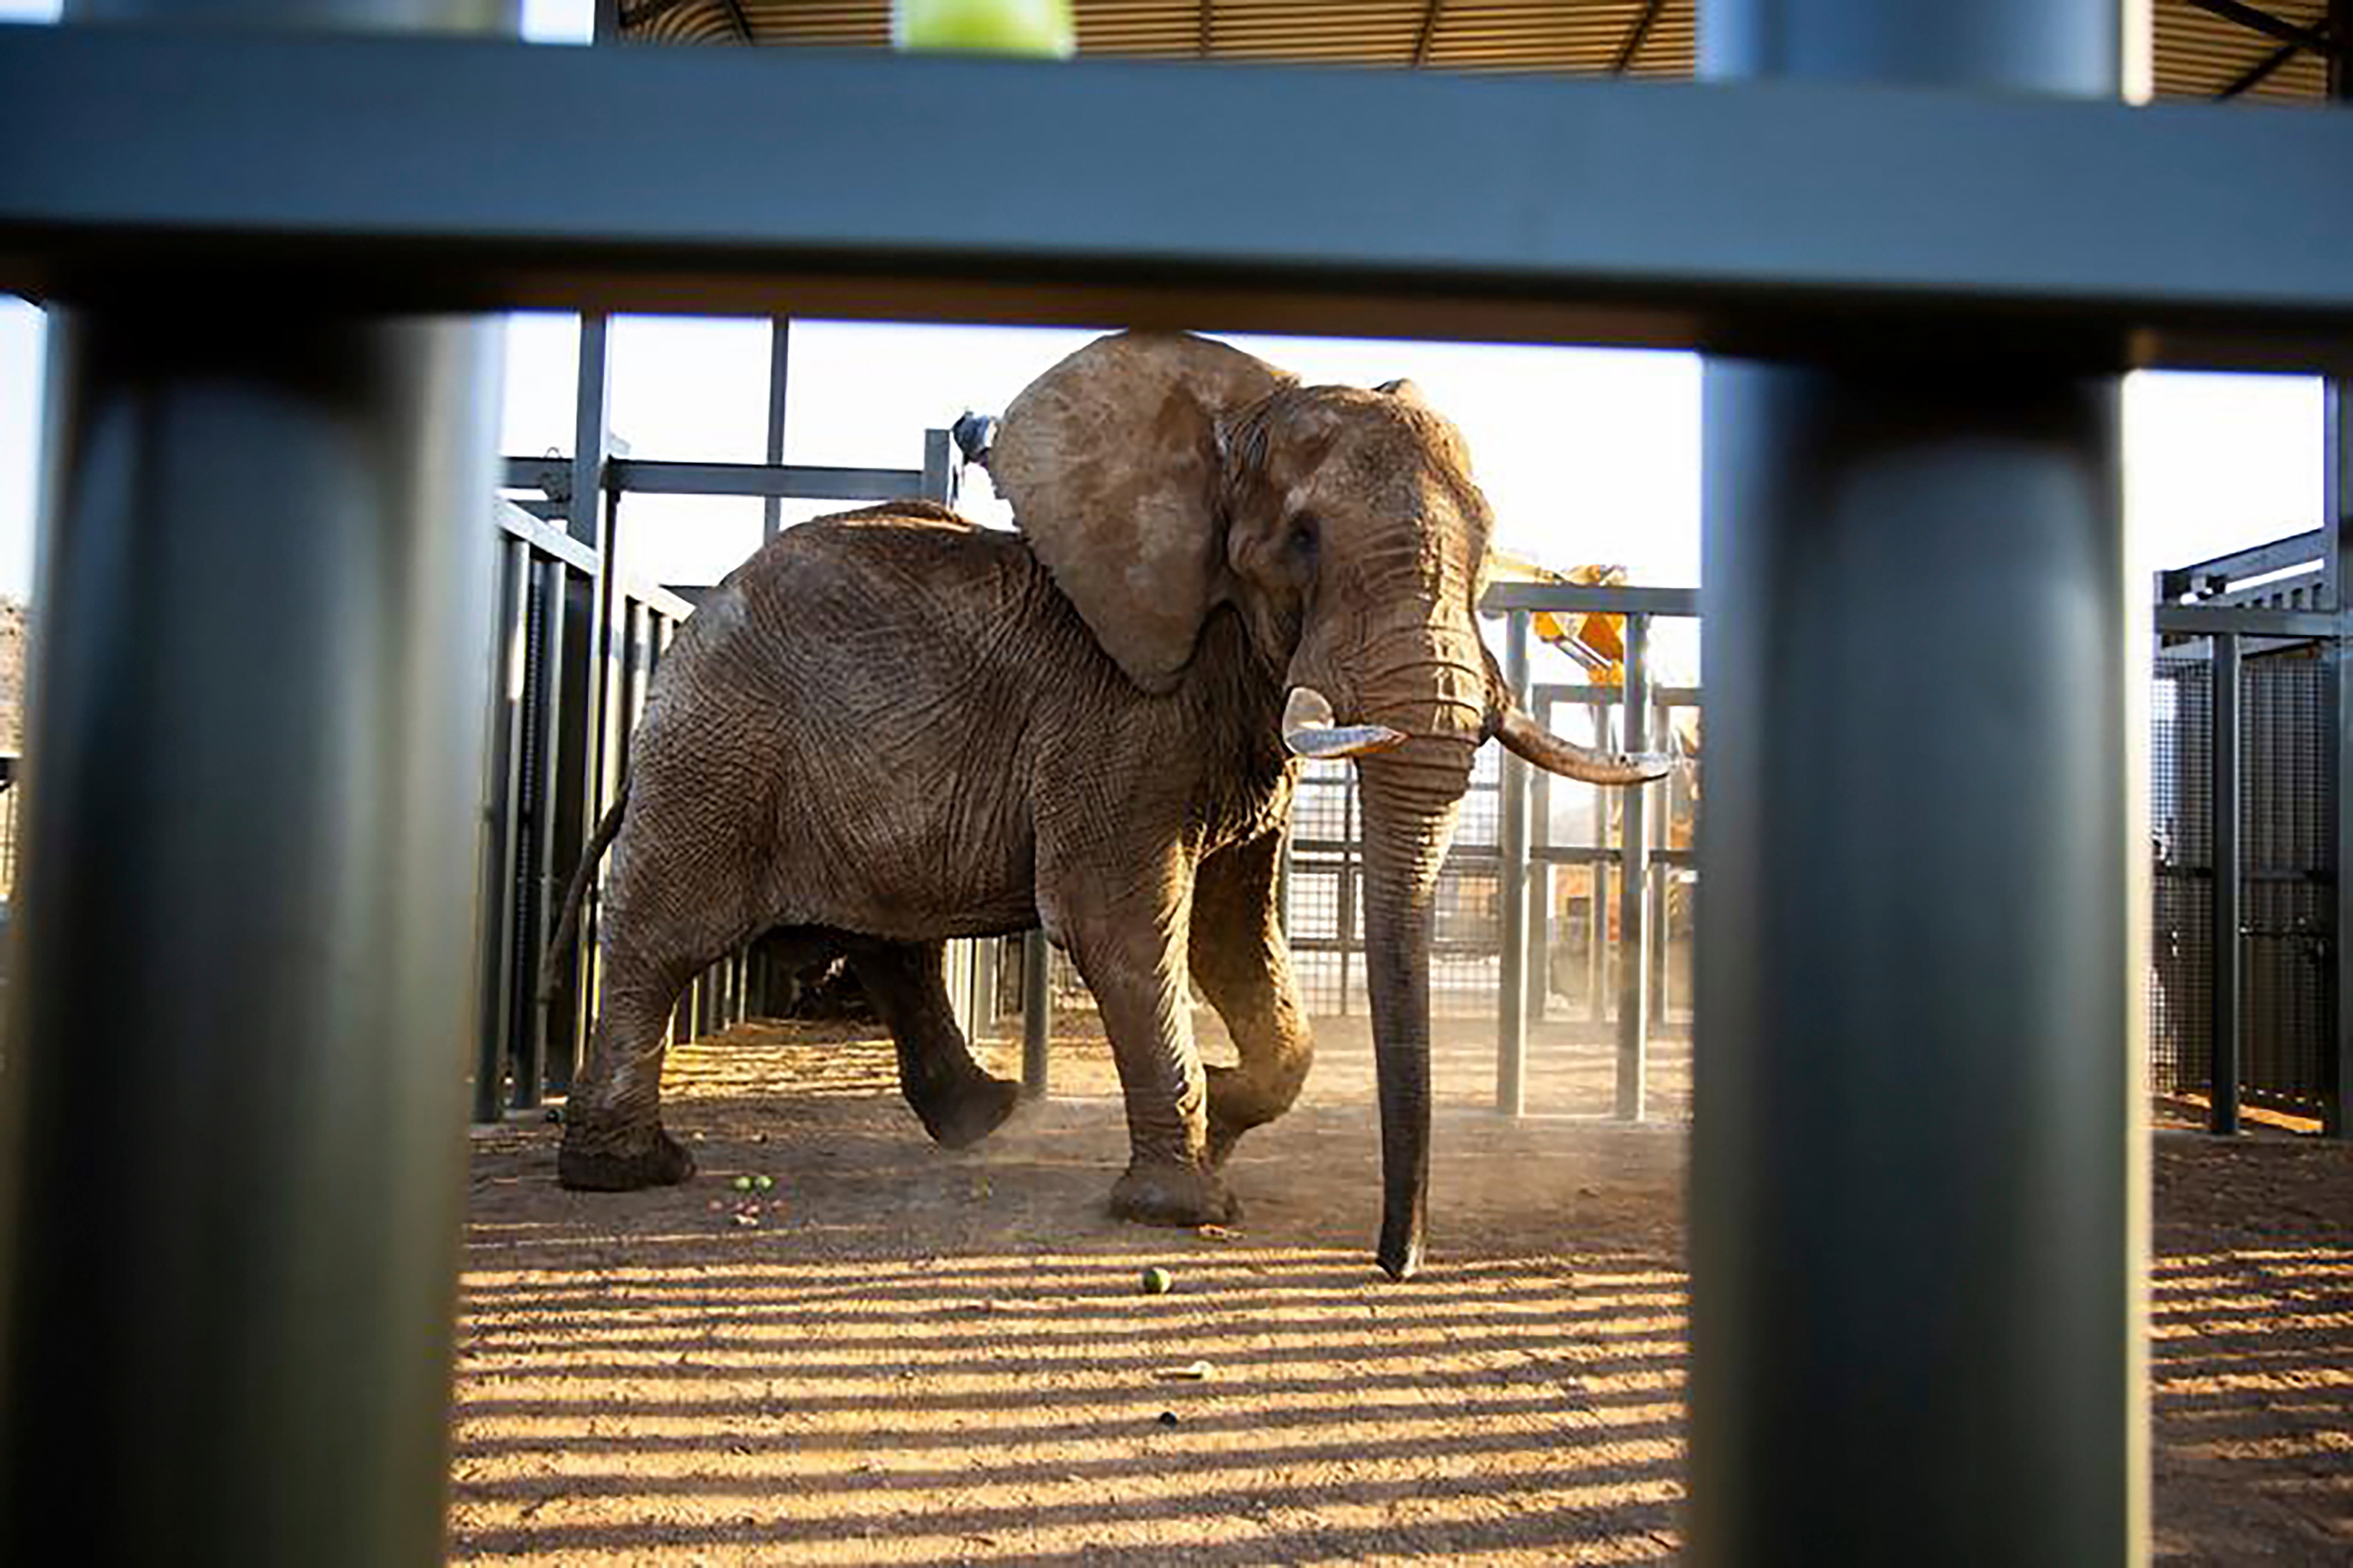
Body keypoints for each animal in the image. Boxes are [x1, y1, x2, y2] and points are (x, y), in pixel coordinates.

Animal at [546, 327, 1675, 1271]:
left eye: (1488, 541)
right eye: (1303, 540)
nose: (1399, 1259)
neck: (1237, 418)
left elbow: (1233, 928)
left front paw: (1226, 1109)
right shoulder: (1119, 709)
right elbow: (1122, 924)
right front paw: (1186, 1204)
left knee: (888, 939)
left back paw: (985, 1116)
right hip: (720, 751)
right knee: (666, 938)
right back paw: (629, 1171)